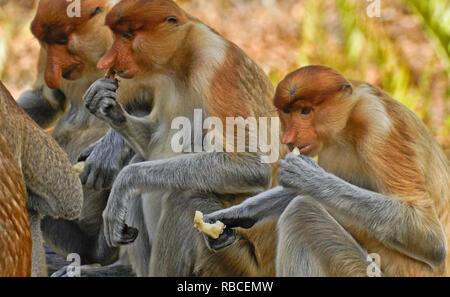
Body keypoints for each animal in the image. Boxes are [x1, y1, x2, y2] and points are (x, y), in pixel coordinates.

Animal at [201, 64, 450, 276]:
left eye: (305, 111)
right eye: (287, 112)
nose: (288, 137)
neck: (350, 118)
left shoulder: (379, 126)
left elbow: (428, 235)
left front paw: (305, 175)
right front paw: (229, 216)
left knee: (302, 213)